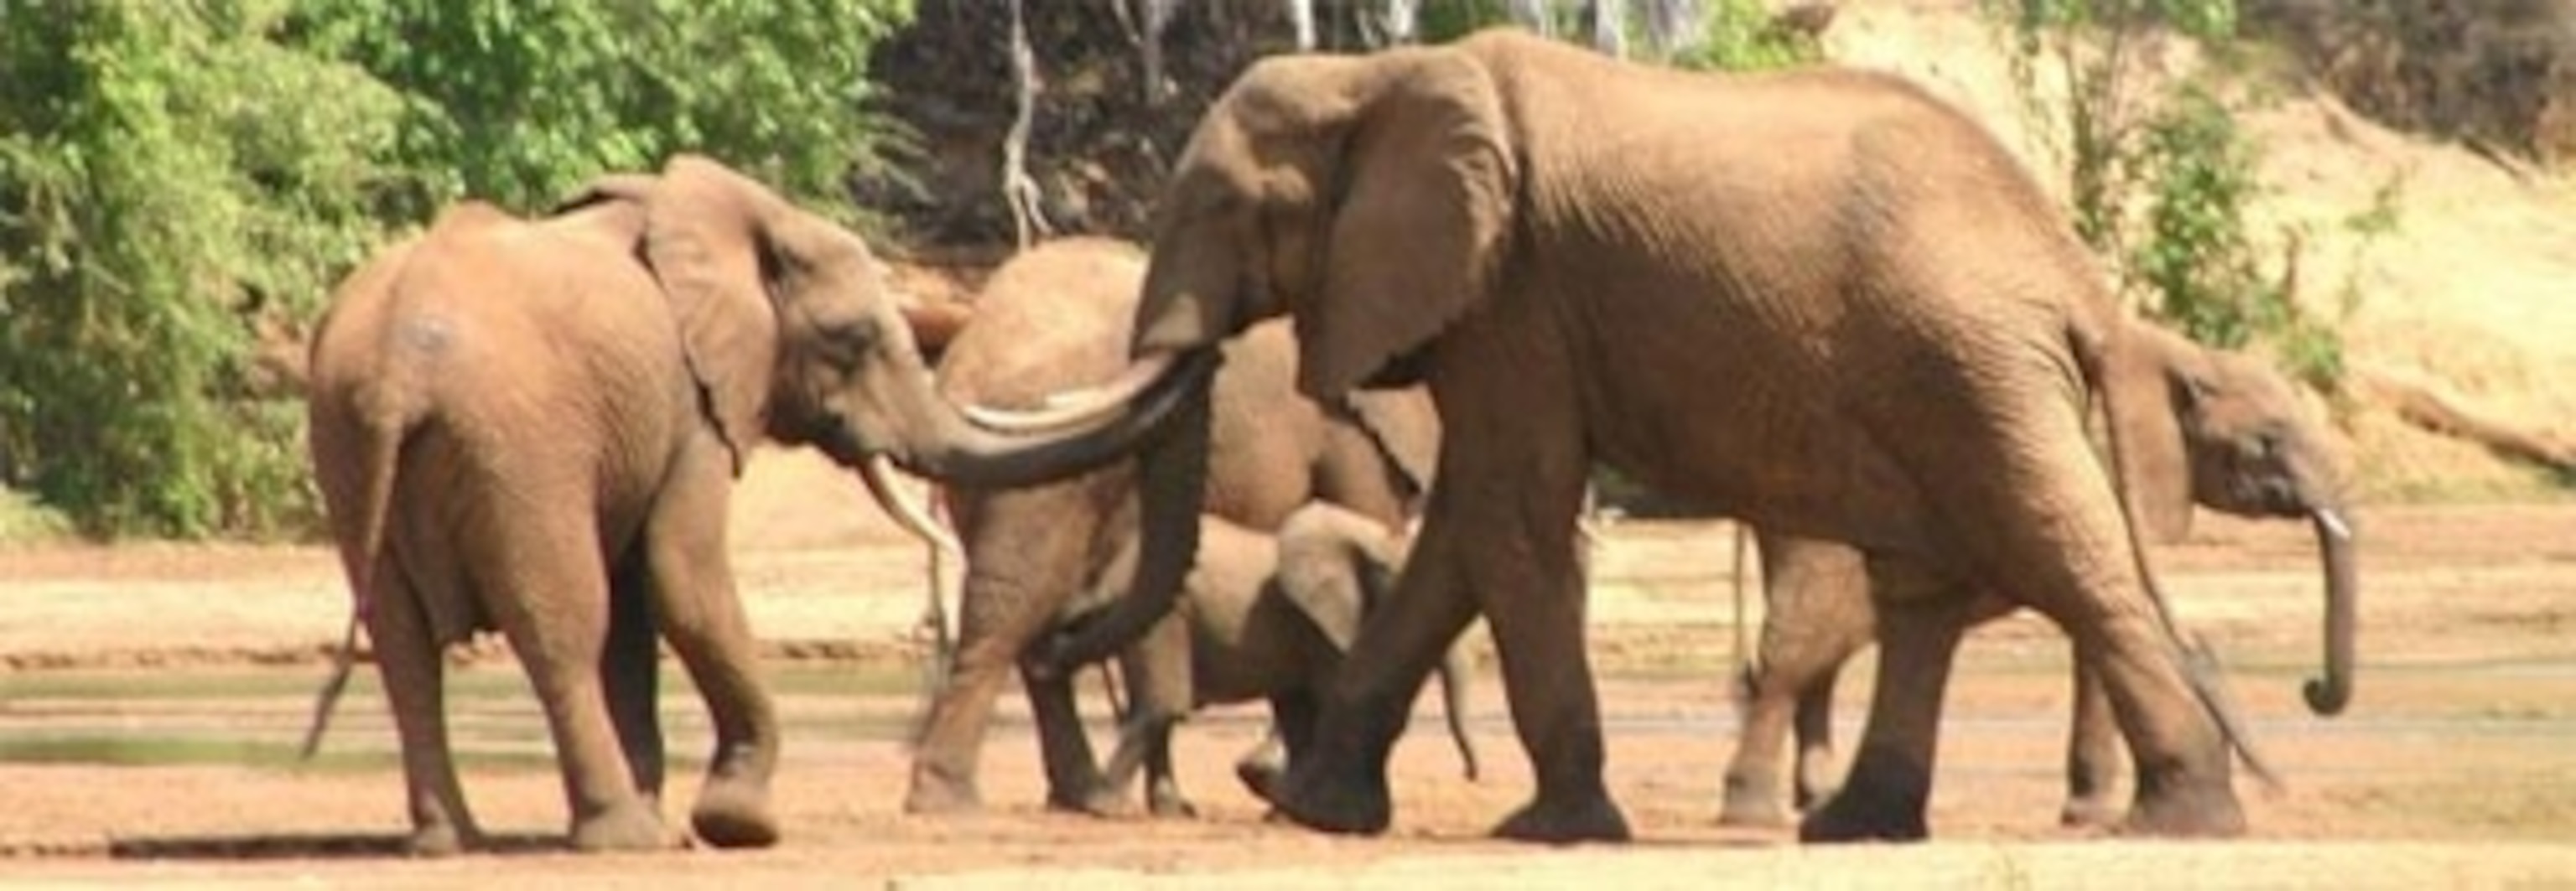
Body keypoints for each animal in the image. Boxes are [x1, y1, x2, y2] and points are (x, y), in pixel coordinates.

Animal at [302, 157, 1185, 855]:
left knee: (402, 644)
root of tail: (396, 360)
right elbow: (679, 579)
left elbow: (638, 608)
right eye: (853, 338)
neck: (745, 215)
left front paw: (686, 811)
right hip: (516, 445)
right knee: (559, 625)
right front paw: (738, 823)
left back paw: (450, 841)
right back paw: (622, 837)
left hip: (347, 436)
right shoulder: (695, 403)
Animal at [1086, 502, 1481, 811]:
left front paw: (1287, 808)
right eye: (1395, 583)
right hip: (1164, 619)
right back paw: (1109, 806)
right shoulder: (1318, 624)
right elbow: (1323, 701)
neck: (1361, 531)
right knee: (1163, 706)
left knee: (1152, 709)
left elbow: (1299, 712)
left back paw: (1174, 811)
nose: (1470, 775)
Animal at [1717, 320, 2359, 829]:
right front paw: (2092, 815)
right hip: (1819, 541)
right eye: (2268, 441)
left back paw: (1815, 798)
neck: (2184, 353)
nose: (2311, 688)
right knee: (1796, 654)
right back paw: (1754, 815)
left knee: (1817, 660)